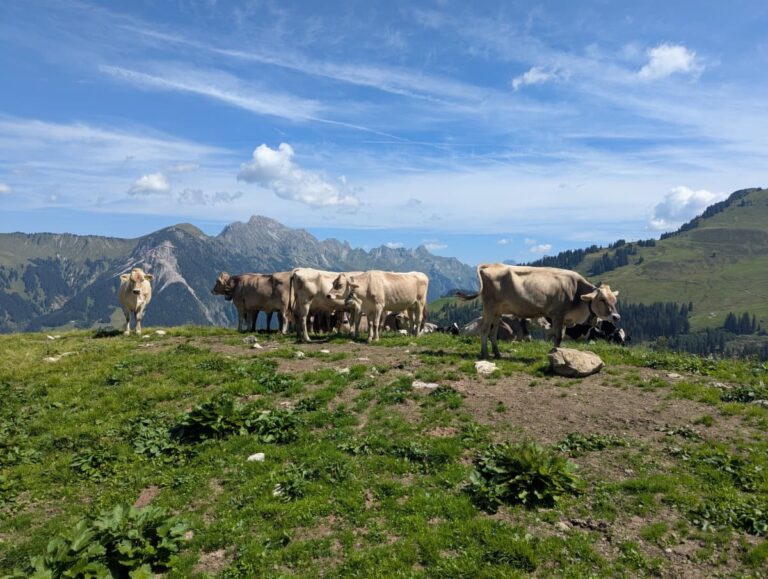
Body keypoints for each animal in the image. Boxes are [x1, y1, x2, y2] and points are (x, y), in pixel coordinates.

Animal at [457, 264, 620, 359]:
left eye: (614, 300)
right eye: (602, 299)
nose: (616, 317)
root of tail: (491, 264)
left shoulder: (564, 319)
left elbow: (558, 336)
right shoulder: (558, 314)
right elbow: (558, 337)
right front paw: (555, 353)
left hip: (498, 311)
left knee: (493, 332)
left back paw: (497, 354)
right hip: (489, 306)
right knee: (485, 329)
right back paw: (484, 354)